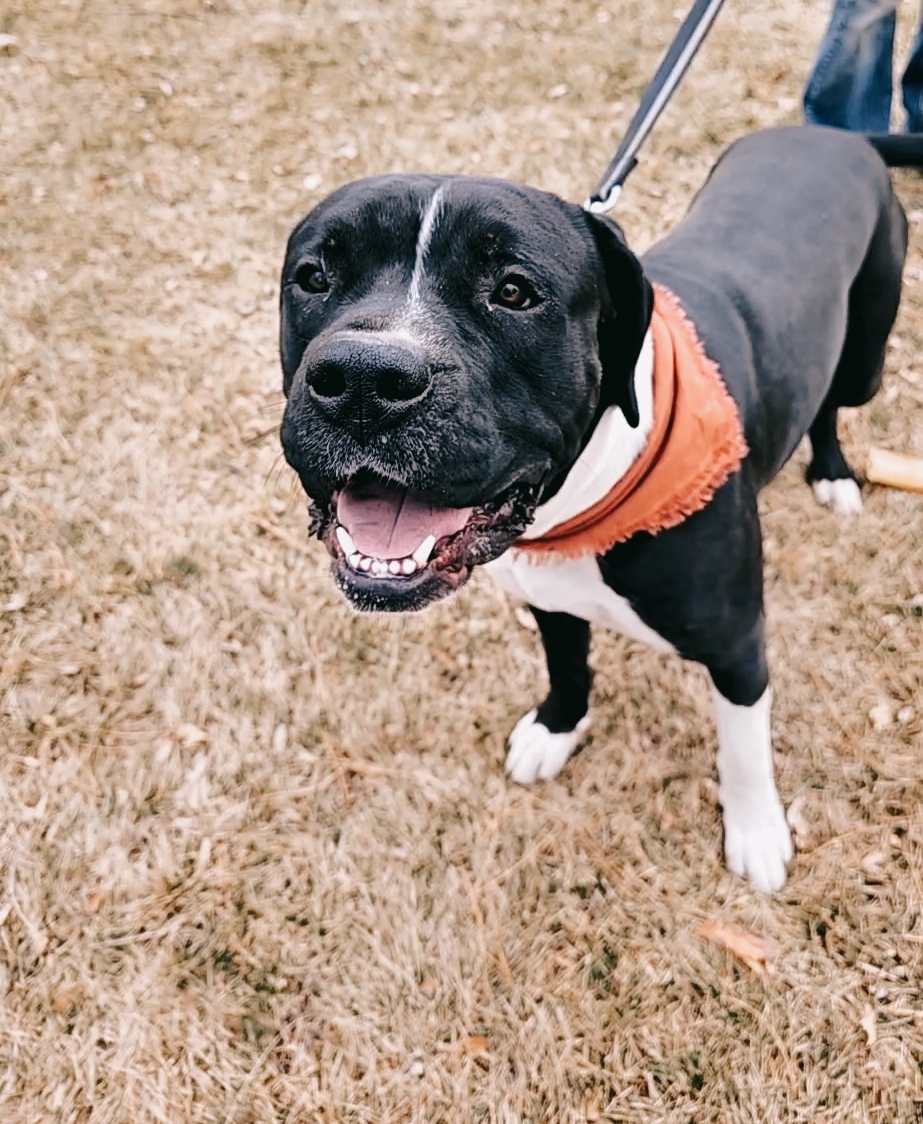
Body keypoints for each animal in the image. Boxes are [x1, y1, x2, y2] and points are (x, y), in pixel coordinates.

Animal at [277, 127, 912, 890]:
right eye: (314, 277)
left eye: (515, 291)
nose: (364, 380)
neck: (585, 501)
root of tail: (834, 132)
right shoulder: (549, 596)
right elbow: (567, 665)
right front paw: (556, 729)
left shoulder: (738, 647)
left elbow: (742, 748)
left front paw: (756, 832)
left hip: (866, 348)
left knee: (832, 402)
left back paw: (833, 474)